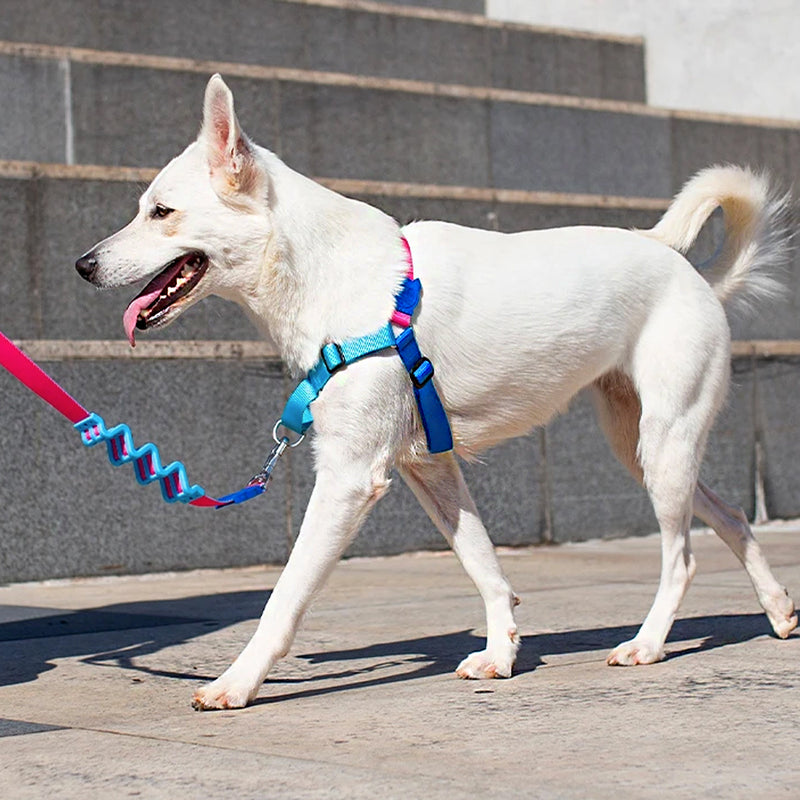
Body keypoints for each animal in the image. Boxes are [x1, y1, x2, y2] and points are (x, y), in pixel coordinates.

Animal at [76, 76, 792, 712]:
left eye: (161, 212)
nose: (82, 265)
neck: (336, 280)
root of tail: (688, 270)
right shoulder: (430, 465)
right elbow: (483, 563)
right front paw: (502, 652)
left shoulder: (348, 477)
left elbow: (285, 598)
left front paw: (237, 682)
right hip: (641, 446)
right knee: (730, 515)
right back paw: (779, 609)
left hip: (664, 443)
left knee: (682, 557)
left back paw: (648, 643)